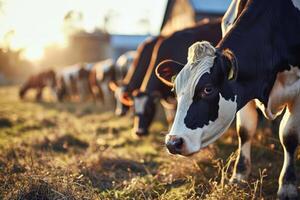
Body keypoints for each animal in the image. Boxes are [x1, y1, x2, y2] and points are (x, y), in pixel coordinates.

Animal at [156, 0, 300, 198]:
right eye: (175, 90)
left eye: (208, 89)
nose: (173, 143)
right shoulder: (243, 91)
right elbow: (244, 131)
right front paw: (238, 177)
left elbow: (289, 136)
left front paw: (288, 186)